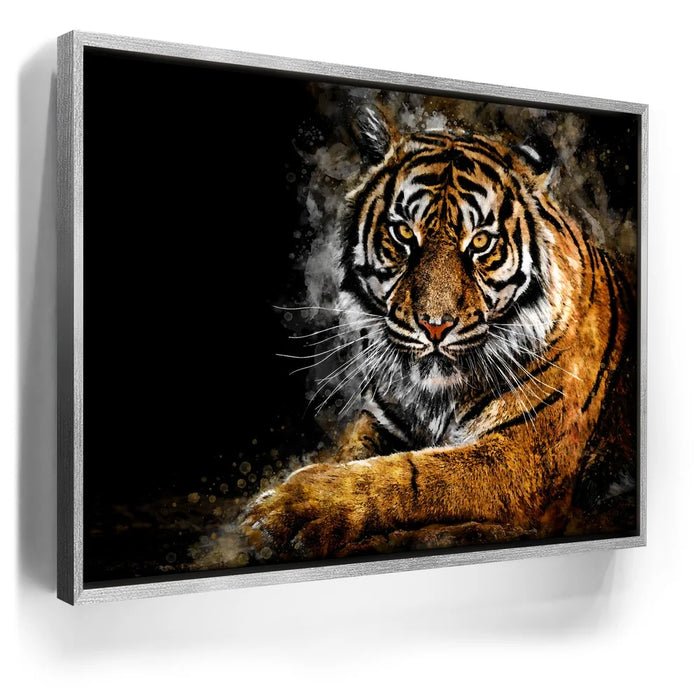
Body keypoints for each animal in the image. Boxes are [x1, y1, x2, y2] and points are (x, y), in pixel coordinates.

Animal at [240, 106, 636, 561]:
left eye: (480, 242)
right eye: (403, 233)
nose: (435, 325)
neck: (435, 397)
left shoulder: (524, 457)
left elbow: (411, 474)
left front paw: (287, 510)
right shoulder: (382, 421)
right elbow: (354, 456)